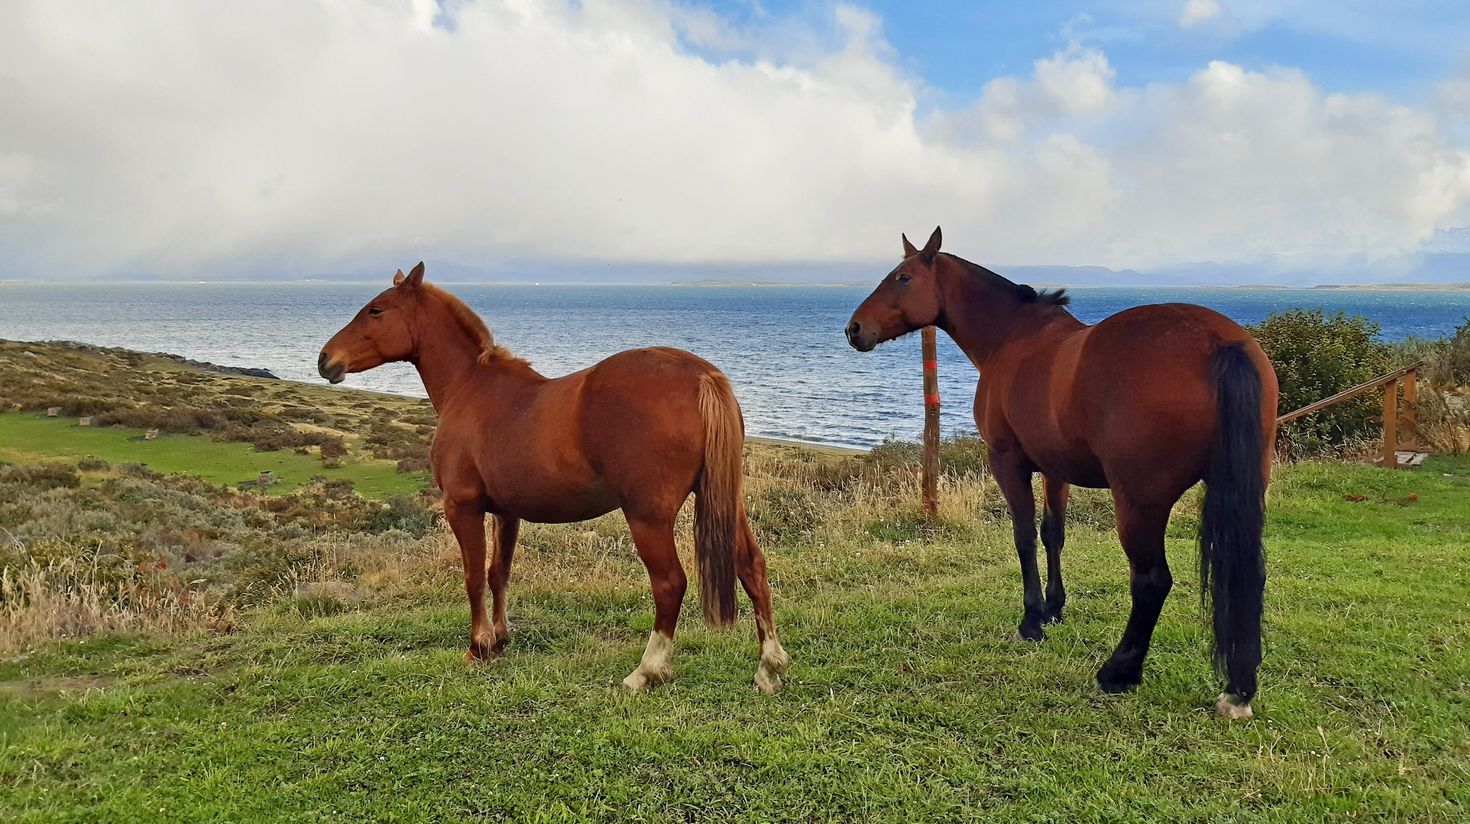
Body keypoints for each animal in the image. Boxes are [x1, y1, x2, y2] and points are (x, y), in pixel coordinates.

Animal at [319, 263, 790, 693]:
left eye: (376, 310)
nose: (325, 360)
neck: (470, 389)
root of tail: (701, 375)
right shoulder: (505, 513)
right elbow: (498, 573)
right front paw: (500, 639)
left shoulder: (462, 507)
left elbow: (472, 576)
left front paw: (478, 646)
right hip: (725, 501)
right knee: (752, 567)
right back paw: (768, 668)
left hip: (648, 517)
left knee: (670, 584)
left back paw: (646, 671)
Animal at [845, 228, 1276, 719]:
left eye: (902, 276)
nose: (854, 328)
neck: (1012, 338)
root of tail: (1222, 344)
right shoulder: (1056, 470)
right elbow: (1053, 533)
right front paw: (1054, 607)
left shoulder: (1007, 462)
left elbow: (1023, 536)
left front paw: (1032, 619)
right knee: (1247, 576)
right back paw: (1239, 688)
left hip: (1138, 503)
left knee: (1151, 581)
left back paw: (1119, 672)